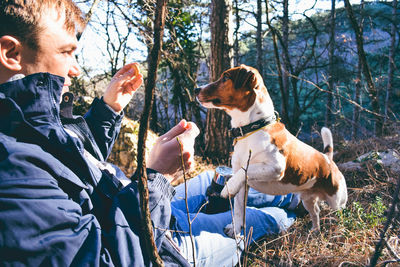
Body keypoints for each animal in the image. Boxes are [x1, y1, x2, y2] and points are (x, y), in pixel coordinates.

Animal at [195, 65, 346, 239]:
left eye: (225, 78)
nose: (196, 89)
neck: (253, 128)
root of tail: (328, 160)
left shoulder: (276, 168)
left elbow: (244, 170)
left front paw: (228, 188)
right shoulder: (244, 186)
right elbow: (239, 209)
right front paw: (236, 230)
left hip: (337, 201)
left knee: (341, 213)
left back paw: (340, 230)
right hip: (307, 199)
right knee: (315, 213)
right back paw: (315, 231)